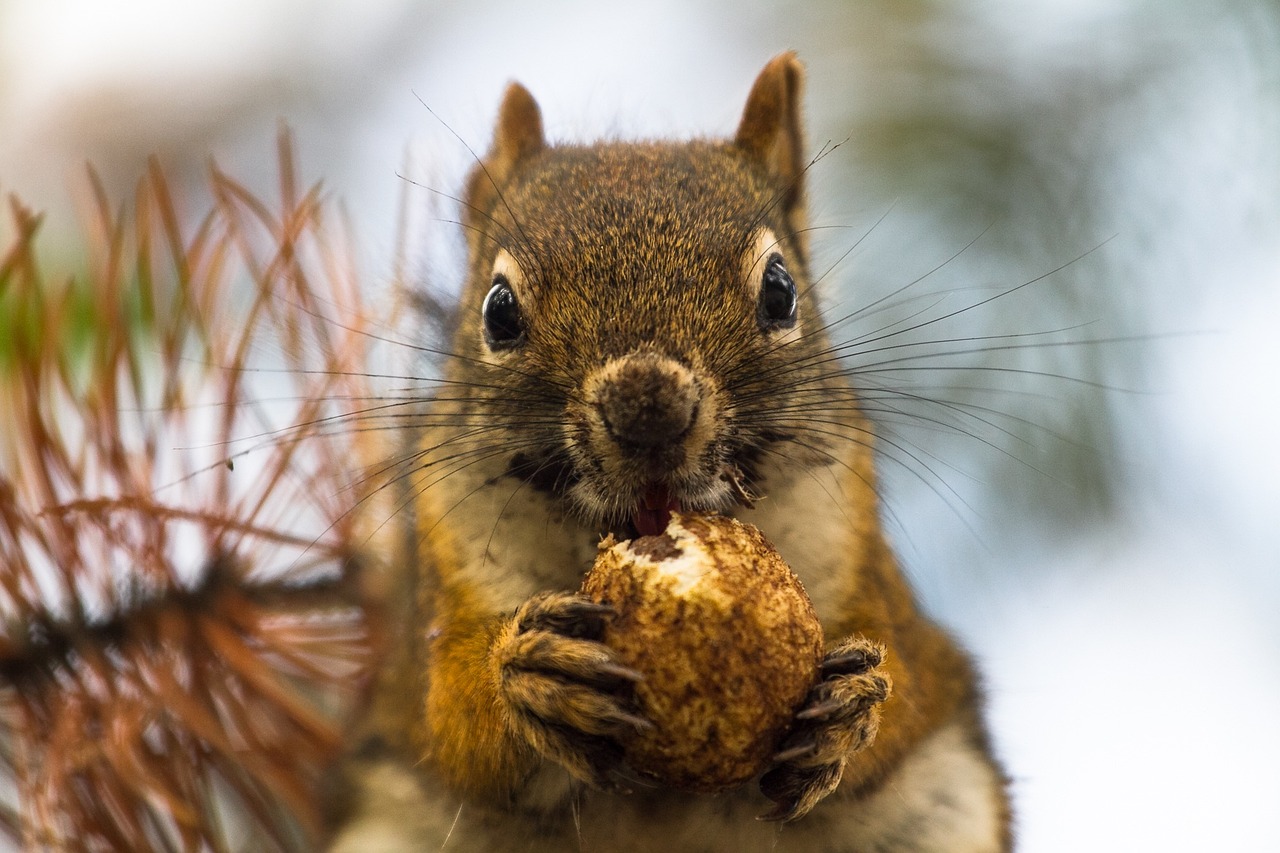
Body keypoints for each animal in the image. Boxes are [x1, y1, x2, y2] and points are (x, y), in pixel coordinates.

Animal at [325, 53, 1013, 850]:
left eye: (780, 290)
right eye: (498, 310)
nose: (648, 410)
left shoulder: (871, 578)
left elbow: (907, 690)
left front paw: (853, 707)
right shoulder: (436, 605)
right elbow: (448, 720)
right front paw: (525, 678)